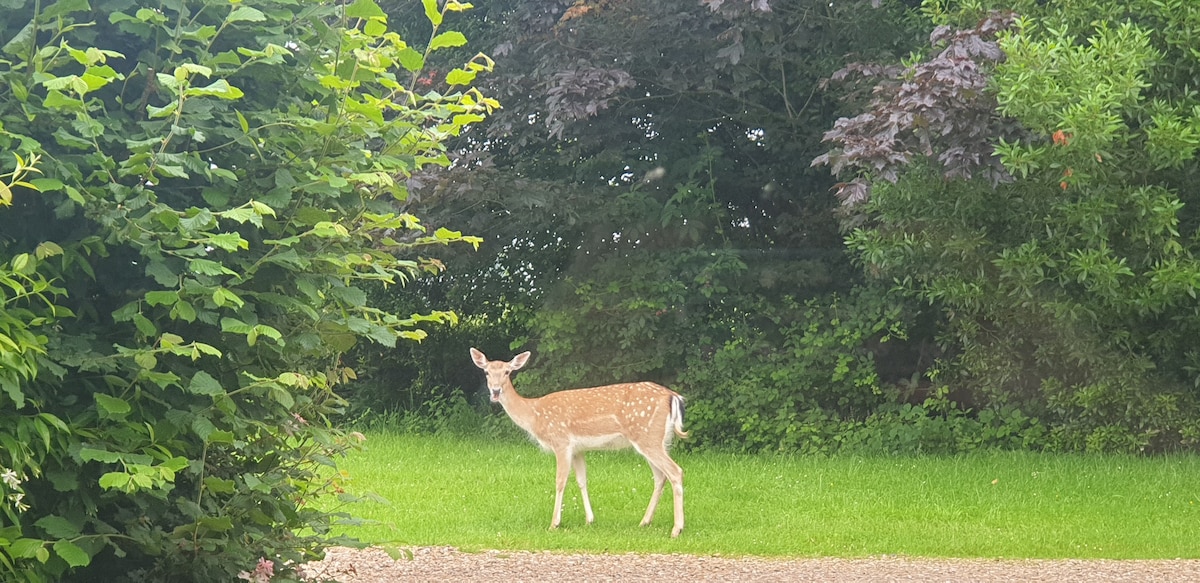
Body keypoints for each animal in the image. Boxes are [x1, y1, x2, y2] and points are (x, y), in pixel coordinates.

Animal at [472, 345, 691, 537]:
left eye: (507, 371)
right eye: (486, 372)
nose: (496, 391)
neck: (534, 415)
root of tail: (673, 396)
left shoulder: (561, 441)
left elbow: (560, 481)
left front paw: (554, 524)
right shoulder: (578, 449)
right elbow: (582, 480)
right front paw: (590, 519)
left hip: (648, 436)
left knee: (675, 471)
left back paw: (677, 529)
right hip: (657, 440)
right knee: (660, 476)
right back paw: (645, 521)